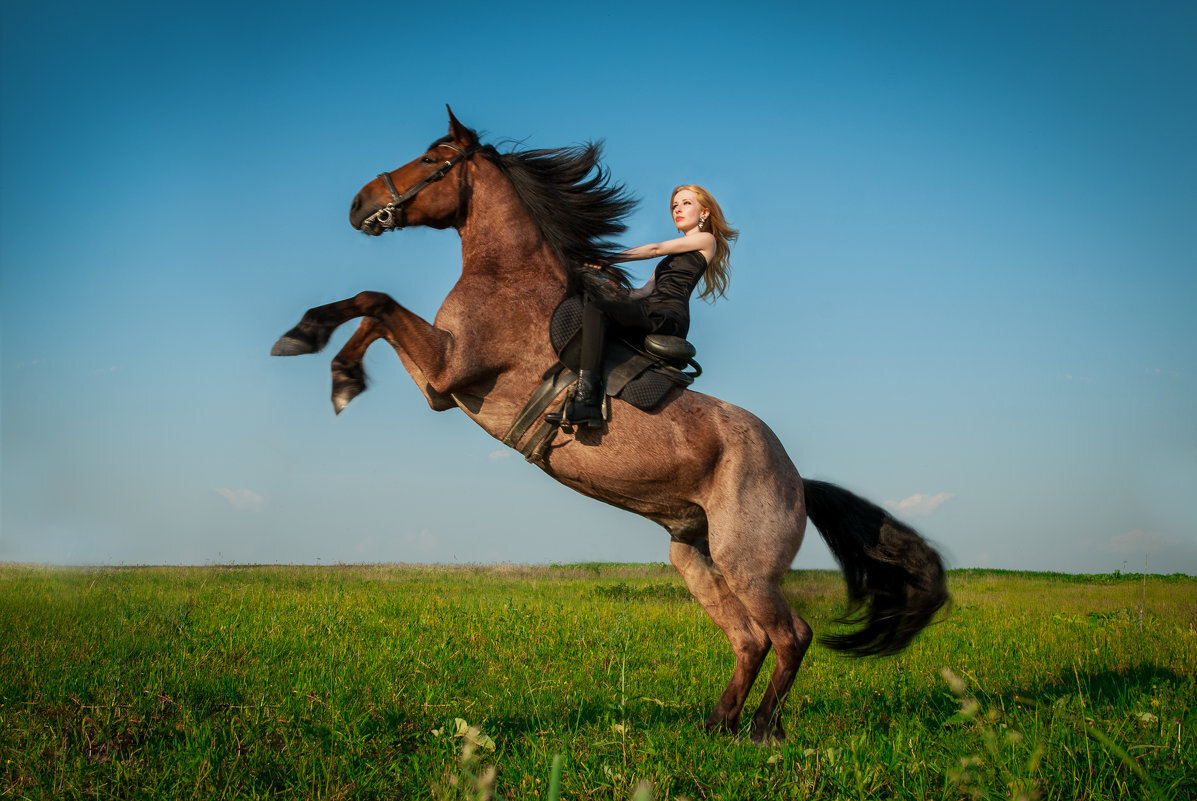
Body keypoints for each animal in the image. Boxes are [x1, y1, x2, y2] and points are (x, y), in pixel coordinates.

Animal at [275, 107, 948, 742]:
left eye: (433, 158)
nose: (359, 204)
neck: (507, 277)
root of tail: (798, 481)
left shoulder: (449, 370)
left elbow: (376, 300)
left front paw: (326, 361)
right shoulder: (441, 390)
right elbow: (370, 307)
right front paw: (318, 347)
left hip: (747, 565)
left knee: (791, 636)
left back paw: (760, 730)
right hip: (694, 558)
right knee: (749, 640)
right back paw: (718, 724)